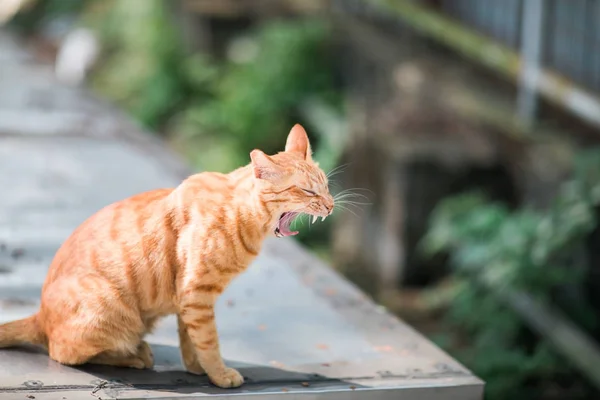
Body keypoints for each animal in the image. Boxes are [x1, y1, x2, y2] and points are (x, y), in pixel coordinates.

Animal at [0, 124, 332, 388]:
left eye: (327, 186)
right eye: (308, 192)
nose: (330, 205)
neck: (239, 212)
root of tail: (40, 314)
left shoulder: (190, 297)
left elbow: (190, 338)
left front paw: (198, 368)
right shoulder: (196, 292)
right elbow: (209, 340)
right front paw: (219, 374)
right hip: (112, 307)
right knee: (63, 353)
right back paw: (135, 355)